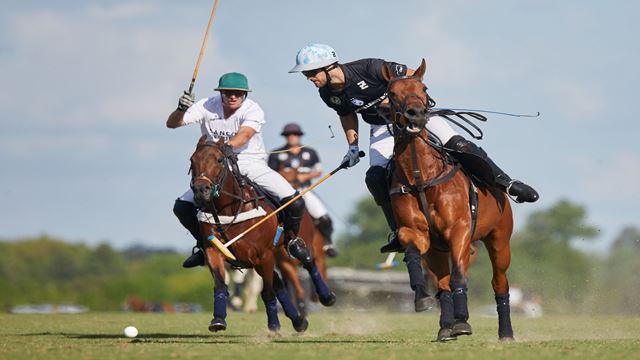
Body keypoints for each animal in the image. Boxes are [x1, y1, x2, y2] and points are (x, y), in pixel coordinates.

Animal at [188, 137, 336, 332]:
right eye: (192, 161)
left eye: (219, 160)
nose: (201, 190)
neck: (229, 208)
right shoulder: (215, 250)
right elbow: (221, 283)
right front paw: (218, 319)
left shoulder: (264, 255)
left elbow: (268, 292)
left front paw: (273, 325)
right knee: (279, 283)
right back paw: (299, 320)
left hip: (302, 250)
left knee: (308, 261)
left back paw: (326, 297)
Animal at [382, 59, 516, 340]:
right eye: (392, 92)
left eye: (423, 88)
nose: (416, 114)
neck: (421, 176)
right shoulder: (416, 233)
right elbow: (414, 255)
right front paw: (423, 299)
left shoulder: (460, 230)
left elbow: (459, 277)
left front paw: (463, 321)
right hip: (438, 250)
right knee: (442, 283)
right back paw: (446, 327)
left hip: (499, 240)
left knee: (498, 282)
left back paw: (505, 332)